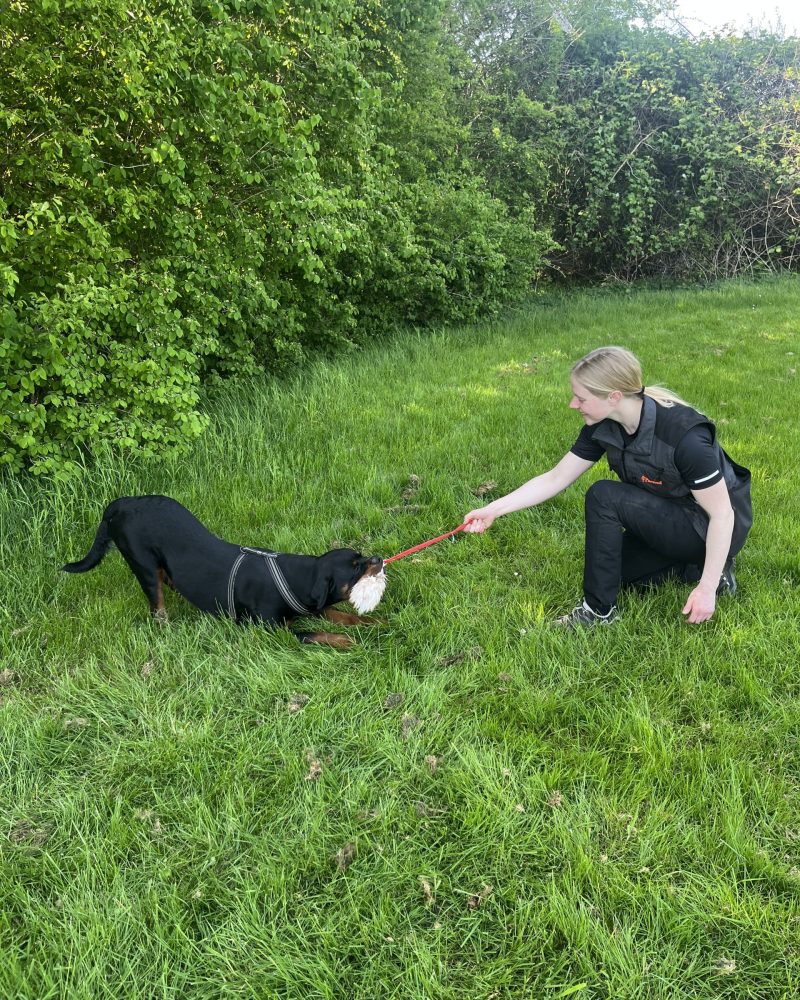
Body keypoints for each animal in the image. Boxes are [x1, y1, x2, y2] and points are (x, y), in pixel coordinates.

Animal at [61, 494, 384, 648]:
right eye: (355, 567)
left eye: (361, 555)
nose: (379, 558)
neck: (296, 579)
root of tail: (120, 504)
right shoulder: (268, 627)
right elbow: (314, 633)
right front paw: (343, 641)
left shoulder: (313, 605)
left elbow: (342, 615)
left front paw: (370, 623)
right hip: (143, 565)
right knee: (157, 606)